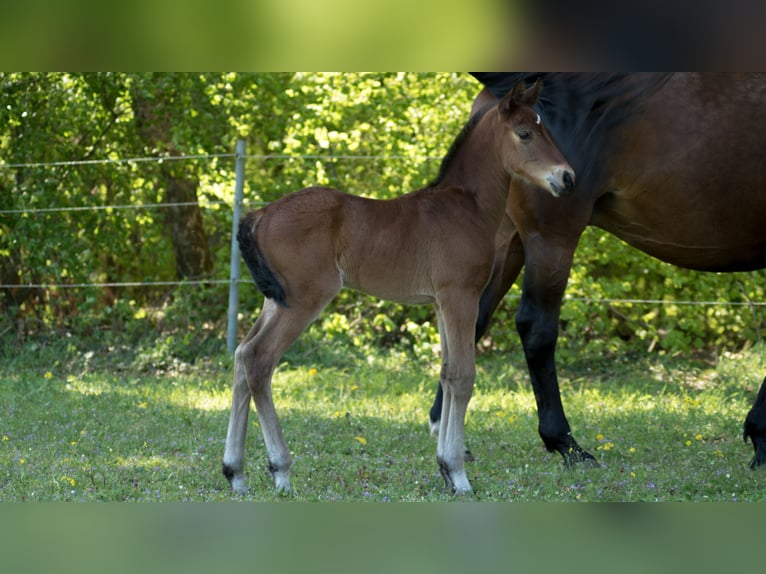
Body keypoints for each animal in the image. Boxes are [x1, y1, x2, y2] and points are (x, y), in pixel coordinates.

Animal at [222, 80, 576, 496]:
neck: (464, 207)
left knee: (242, 356)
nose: (568, 178)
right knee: (259, 360)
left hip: (276, 300)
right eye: (524, 133)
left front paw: (444, 467)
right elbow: (463, 376)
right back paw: (280, 470)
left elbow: (446, 372)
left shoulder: (440, 302)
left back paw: (235, 472)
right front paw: (458, 474)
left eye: (545, 129)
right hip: (304, 299)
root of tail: (259, 214)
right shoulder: (460, 295)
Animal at [428, 73, 766, 468]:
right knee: (536, 327)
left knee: (472, 319)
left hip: (506, 239)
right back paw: (566, 443)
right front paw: (761, 437)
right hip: (551, 238)